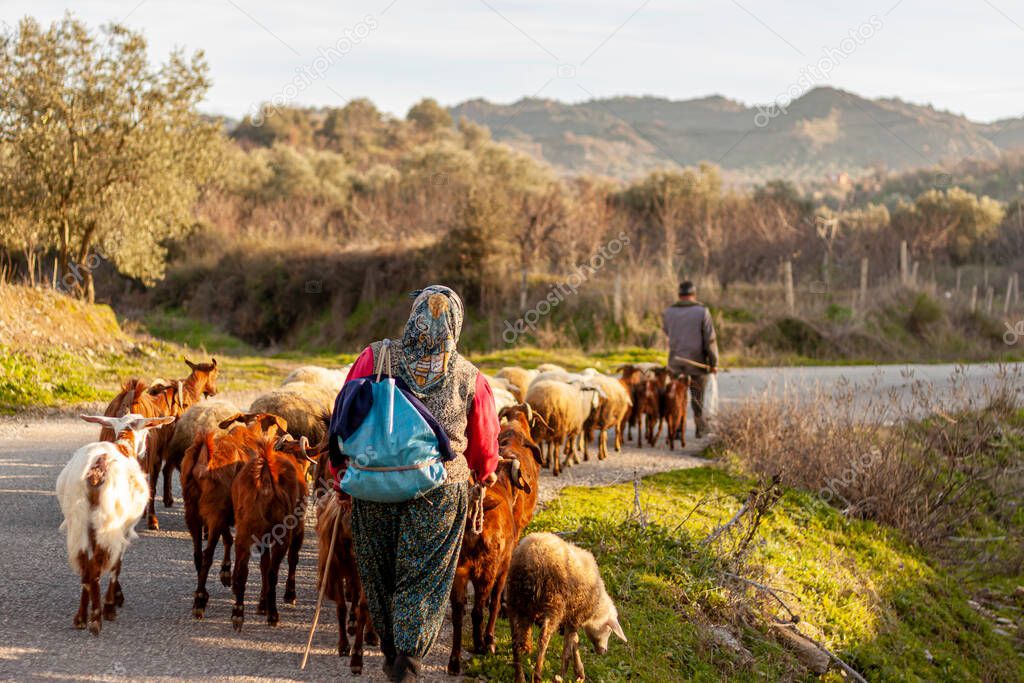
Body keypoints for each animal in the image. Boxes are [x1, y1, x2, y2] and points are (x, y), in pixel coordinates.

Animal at [182, 411, 288, 618]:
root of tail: (202, 460)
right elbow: (263, 560)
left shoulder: (228, 511)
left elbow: (228, 539)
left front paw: (226, 573)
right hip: (213, 512)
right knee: (207, 555)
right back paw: (200, 601)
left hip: (192, 512)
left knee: (198, 553)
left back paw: (202, 593)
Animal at [446, 456, 532, 675]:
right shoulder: (503, 568)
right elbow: (494, 603)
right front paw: (490, 640)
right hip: (486, 571)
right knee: (478, 610)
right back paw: (481, 645)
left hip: (459, 571)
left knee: (458, 615)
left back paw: (454, 661)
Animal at [503, 532, 622, 683]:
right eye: (609, 630)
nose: (604, 651)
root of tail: (529, 556)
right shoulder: (575, 617)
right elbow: (568, 648)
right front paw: (563, 675)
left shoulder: (570, 617)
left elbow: (574, 642)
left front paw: (579, 673)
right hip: (554, 604)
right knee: (543, 639)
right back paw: (537, 675)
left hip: (514, 600)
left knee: (515, 639)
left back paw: (519, 676)